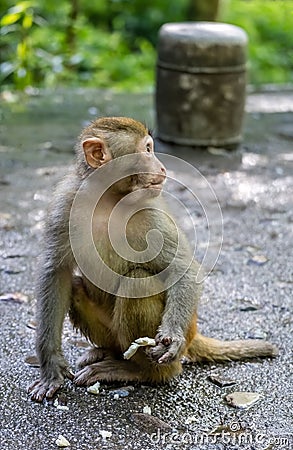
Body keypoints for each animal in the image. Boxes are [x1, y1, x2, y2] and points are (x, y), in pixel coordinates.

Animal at [28, 115, 278, 400]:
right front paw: (51, 368)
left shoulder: (151, 211)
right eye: (147, 150)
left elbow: (182, 269)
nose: (161, 166)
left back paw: (140, 372)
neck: (107, 199)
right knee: (77, 286)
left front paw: (172, 335)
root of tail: (195, 332)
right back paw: (106, 352)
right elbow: (56, 274)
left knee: (139, 282)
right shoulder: (65, 205)